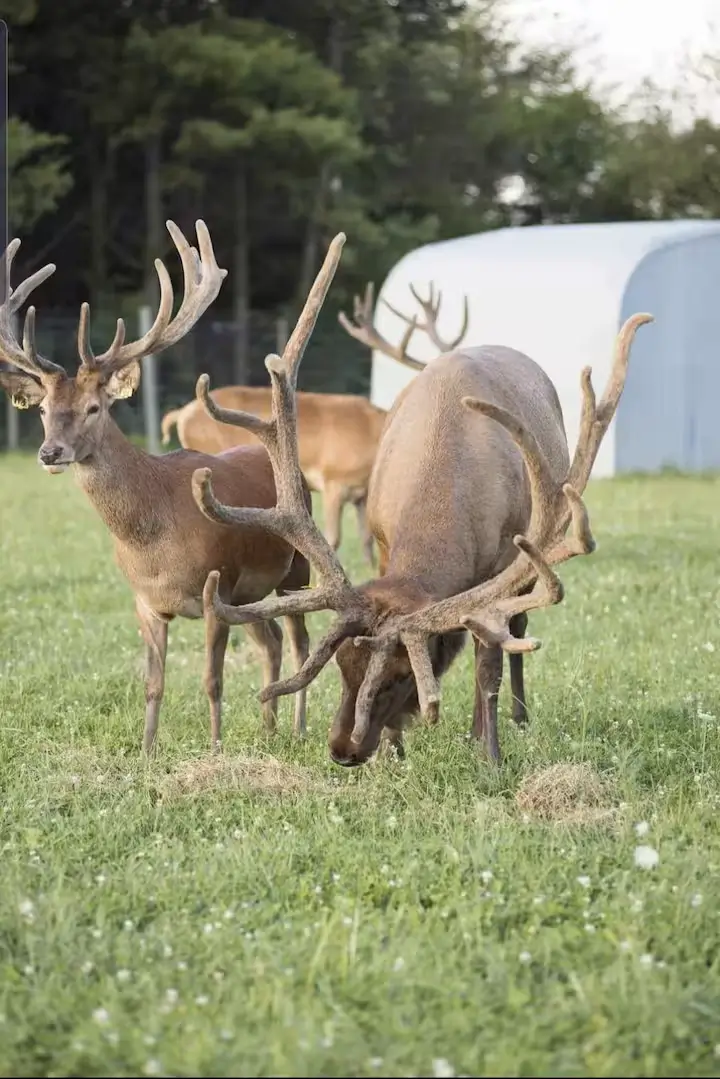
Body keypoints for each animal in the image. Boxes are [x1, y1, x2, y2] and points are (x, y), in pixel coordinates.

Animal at [0, 221, 314, 755]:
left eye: (94, 408)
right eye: (42, 410)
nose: (49, 452)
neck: (150, 541)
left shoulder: (215, 585)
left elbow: (212, 680)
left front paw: (215, 748)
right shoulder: (146, 602)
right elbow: (153, 683)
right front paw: (147, 751)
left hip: (296, 569)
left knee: (298, 640)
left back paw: (296, 728)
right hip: (249, 594)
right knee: (270, 640)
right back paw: (268, 728)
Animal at [189, 231, 653, 768]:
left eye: (401, 674)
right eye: (343, 663)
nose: (343, 749)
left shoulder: (502, 561)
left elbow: (488, 660)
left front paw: (489, 754)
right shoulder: (380, 535)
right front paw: (395, 749)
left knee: (516, 627)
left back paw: (516, 718)